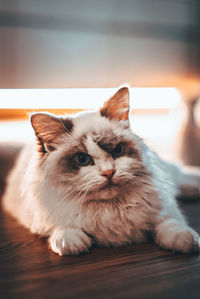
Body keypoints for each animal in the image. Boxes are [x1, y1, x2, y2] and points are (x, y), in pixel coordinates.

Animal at [1, 88, 200, 256]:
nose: (109, 172)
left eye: (117, 151)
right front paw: (73, 243)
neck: (112, 208)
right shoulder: (43, 216)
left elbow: (172, 225)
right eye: (82, 160)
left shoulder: (163, 211)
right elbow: (62, 230)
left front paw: (189, 242)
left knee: (180, 177)